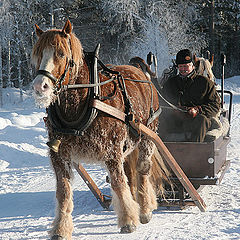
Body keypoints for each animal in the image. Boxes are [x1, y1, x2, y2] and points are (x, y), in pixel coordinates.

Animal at [31, 19, 170, 239]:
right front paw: (61, 228)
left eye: (61, 53)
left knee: (142, 170)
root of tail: (142, 72)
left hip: (148, 136)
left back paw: (145, 207)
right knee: (130, 173)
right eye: (37, 53)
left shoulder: (112, 151)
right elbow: (63, 192)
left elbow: (118, 183)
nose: (40, 86)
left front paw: (128, 220)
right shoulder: (59, 154)